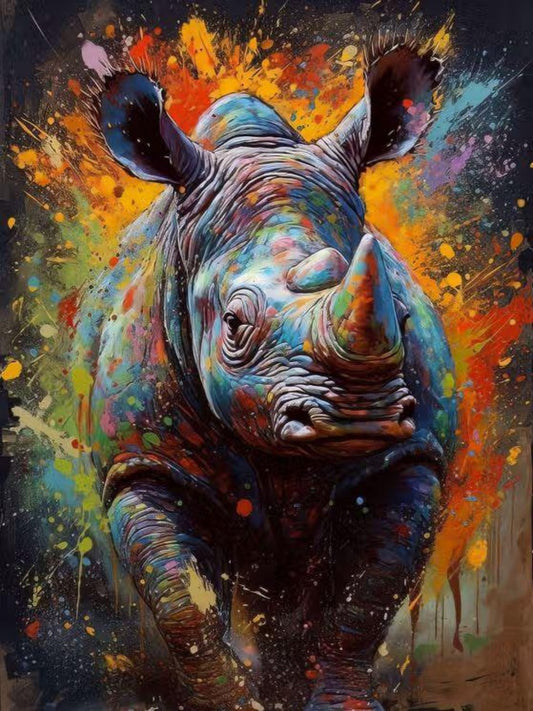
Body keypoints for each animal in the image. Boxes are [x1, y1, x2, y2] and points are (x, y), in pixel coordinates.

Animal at [77, 38, 456, 710]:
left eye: (402, 314)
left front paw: (340, 702)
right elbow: (183, 603)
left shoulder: (410, 453)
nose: (355, 416)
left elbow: (367, 594)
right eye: (232, 324)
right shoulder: (142, 460)